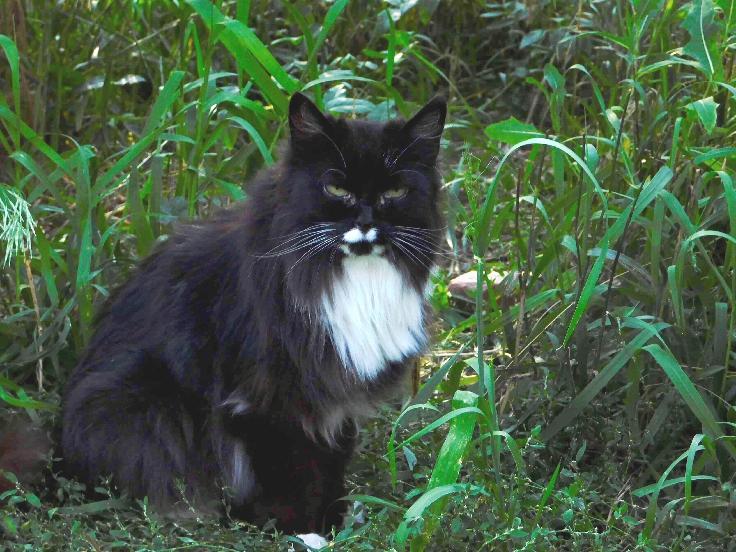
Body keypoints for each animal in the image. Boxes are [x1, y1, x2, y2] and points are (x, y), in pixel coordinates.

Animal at [60, 92, 446, 536]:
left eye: (394, 192)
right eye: (336, 188)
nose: (366, 221)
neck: (347, 277)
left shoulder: (333, 396)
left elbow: (331, 461)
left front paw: (332, 522)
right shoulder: (262, 399)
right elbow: (288, 472)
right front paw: (298, 529)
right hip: (142, 399)